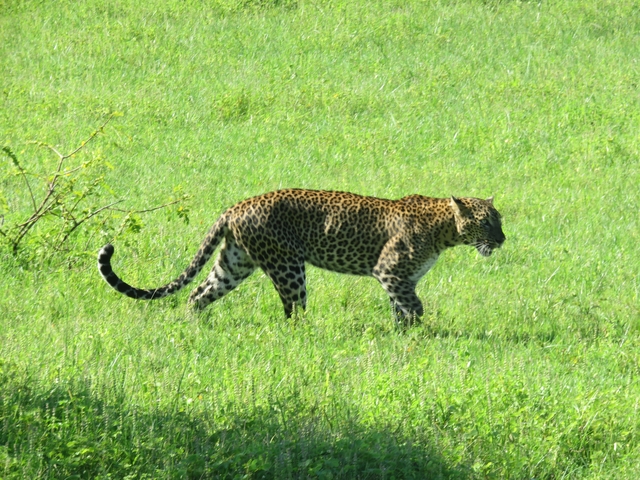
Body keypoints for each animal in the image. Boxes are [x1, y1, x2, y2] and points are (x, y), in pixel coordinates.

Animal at [98, 189, 505, 321]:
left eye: (499, 220)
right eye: (487, 223)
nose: (502, 240)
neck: (445, 231)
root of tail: (236, 206)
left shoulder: (401, 280)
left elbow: (402, 310)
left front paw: (405, 336)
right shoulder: (389, 272)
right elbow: (415, 307)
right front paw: (424, 334)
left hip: (235, 263)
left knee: (199, 293)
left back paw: (194, 325)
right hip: (287, 266)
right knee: (293, 310)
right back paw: (308, 336)